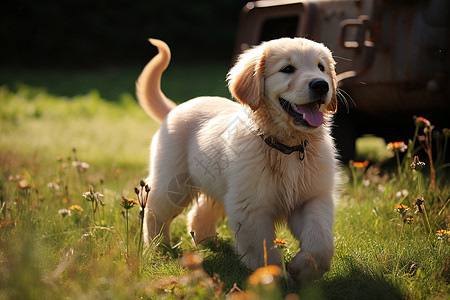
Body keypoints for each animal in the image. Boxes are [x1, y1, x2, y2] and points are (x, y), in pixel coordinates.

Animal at [135, 37, 340, 284]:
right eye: (287, 69)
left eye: (321, 67)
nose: (321, 85)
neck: (287, 148)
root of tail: (174, 109)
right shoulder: (251, 208)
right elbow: (264, 249)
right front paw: (273, 279)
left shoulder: (312, 198)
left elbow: (320, 240)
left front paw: (304, 269)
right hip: (174, 182)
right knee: (155, 208)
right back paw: (159, 246)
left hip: (218, 183)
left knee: (200, 212)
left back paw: (206, 242)